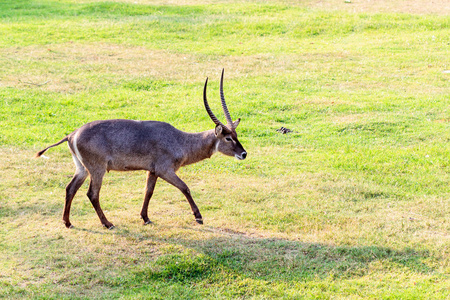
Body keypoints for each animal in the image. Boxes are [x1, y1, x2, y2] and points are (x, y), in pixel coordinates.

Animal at [34, 69, 246, 230]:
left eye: (236, 135)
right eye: (228, 138)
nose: (243, 154)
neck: (180, 140)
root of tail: (72, 134)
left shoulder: (152, 171)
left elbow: (148, 192)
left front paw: (145, 218)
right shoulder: (165, 170)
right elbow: (185, 187)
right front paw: (198, 217)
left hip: (82, 169)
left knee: (70, 188)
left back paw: (68, 222)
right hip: (97, 169)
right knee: (92, 194)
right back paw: (108, 224)